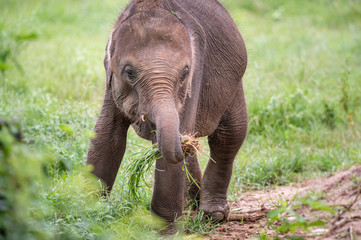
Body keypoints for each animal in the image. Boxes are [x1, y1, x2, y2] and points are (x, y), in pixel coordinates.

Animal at [87, 0, 248, 227]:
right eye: (129, 72)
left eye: (185, 73)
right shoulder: (112, 84)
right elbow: (106, 136)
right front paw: (88, 213)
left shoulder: (195, 80)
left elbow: (173, 147)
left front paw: (164, 229)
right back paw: (192, 202)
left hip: (233, 86)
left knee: (230, 135)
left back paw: (212, 214)